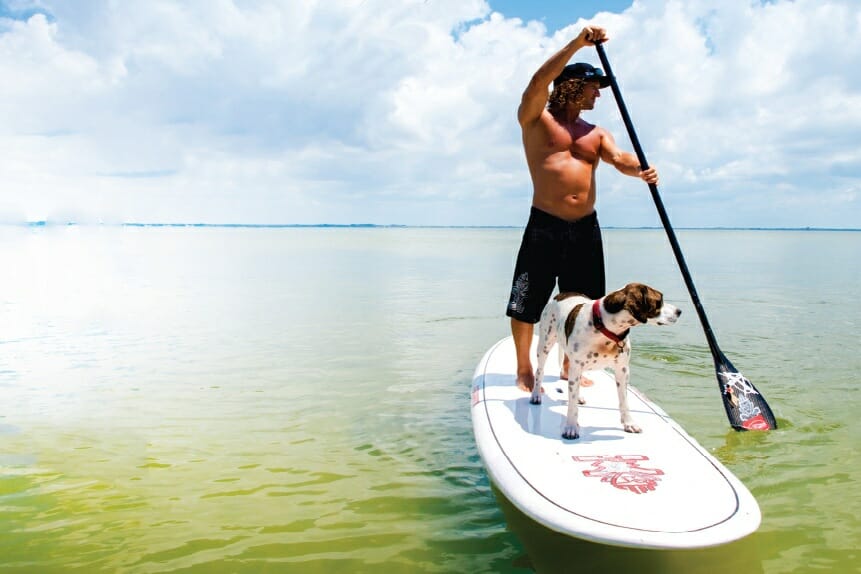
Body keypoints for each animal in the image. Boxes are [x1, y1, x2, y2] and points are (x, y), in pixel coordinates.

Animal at [528, 284, 680, 440]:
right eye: (659, 301)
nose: (679, 311)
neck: (604, 327)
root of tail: (562, 294)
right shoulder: (576, 367)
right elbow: (572, 406)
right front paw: (571, 427)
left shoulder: (622, 370)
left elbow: (624, 400)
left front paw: (629, 423)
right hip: (545, 345)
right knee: (540, 372)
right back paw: (536, 395)